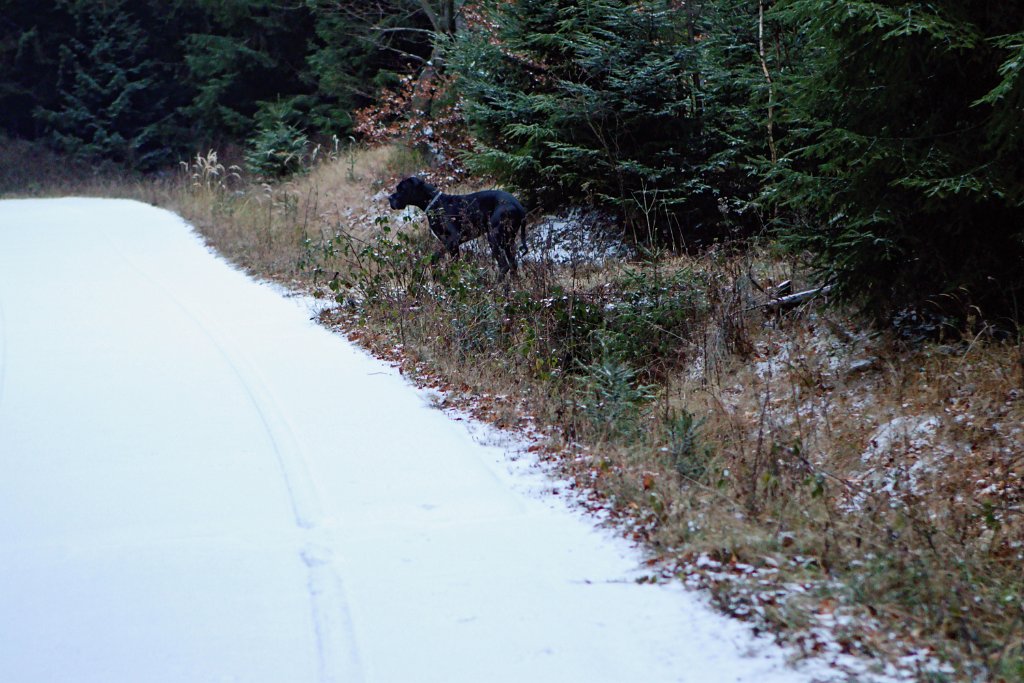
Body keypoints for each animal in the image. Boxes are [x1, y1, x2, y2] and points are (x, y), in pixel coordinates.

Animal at [385, 176, 528, 278]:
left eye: (401, 189)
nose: (389, 198)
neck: (436, 204)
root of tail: (519, 206)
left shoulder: (453, 240)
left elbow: (434, 258)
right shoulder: (451, 245)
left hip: (493, 237)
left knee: (504, 266)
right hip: (508, 240)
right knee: (513, 264)